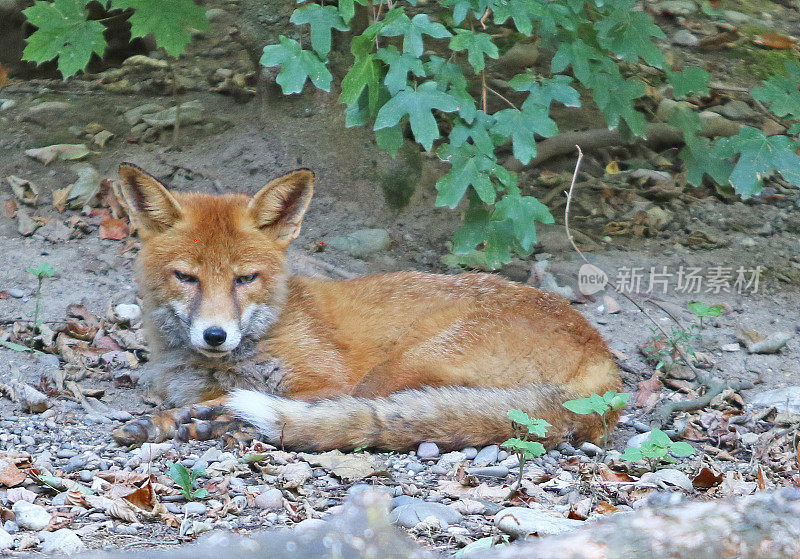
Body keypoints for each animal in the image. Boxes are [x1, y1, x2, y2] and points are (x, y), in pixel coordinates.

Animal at [112, 164, 620, 452]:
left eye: (244, 279)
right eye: (187, 277)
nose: (215, 335)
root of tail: (602, 355)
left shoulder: (327, 381)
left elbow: (231, 399)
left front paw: (174, 421)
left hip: (396, 370)